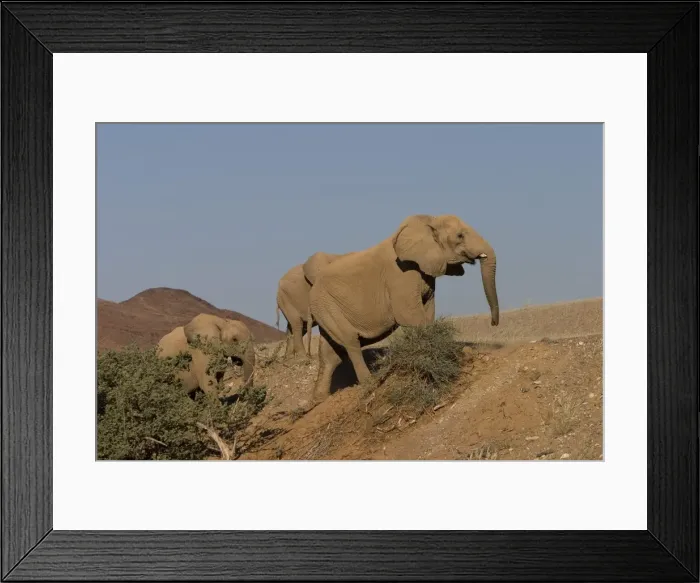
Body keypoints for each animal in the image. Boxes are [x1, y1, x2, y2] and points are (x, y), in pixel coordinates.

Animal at [308, 214, 499, 404]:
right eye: (460, 236)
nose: (493, 323)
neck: (428, 221)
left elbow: (428, 311)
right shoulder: (401, 273)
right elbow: (410, 315)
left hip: (325, 309)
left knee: (330, 354)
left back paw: (320, 398)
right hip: (326, 305)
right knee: (351, 342)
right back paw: (369, 382)